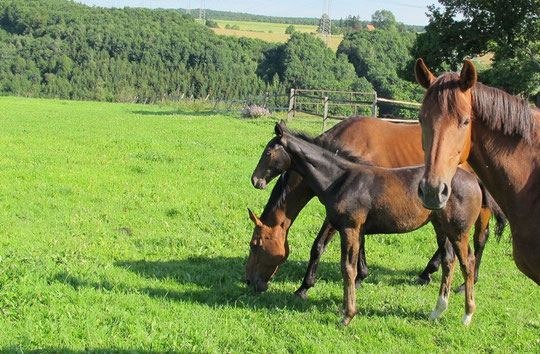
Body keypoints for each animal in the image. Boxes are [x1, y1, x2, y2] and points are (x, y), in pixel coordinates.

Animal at [249, 122, 480, 326]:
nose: (255, 180)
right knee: (449, 261)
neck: (340, 179)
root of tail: (475, 181)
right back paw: (437, 310)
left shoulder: (349, 227)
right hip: (441, 228)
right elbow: (351, 263)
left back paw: (467, 315)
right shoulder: (353, 229)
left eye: (268, 153)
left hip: (458, 231)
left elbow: (346, 267)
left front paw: (347, 314)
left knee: (467, 262)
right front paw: (345, 302)